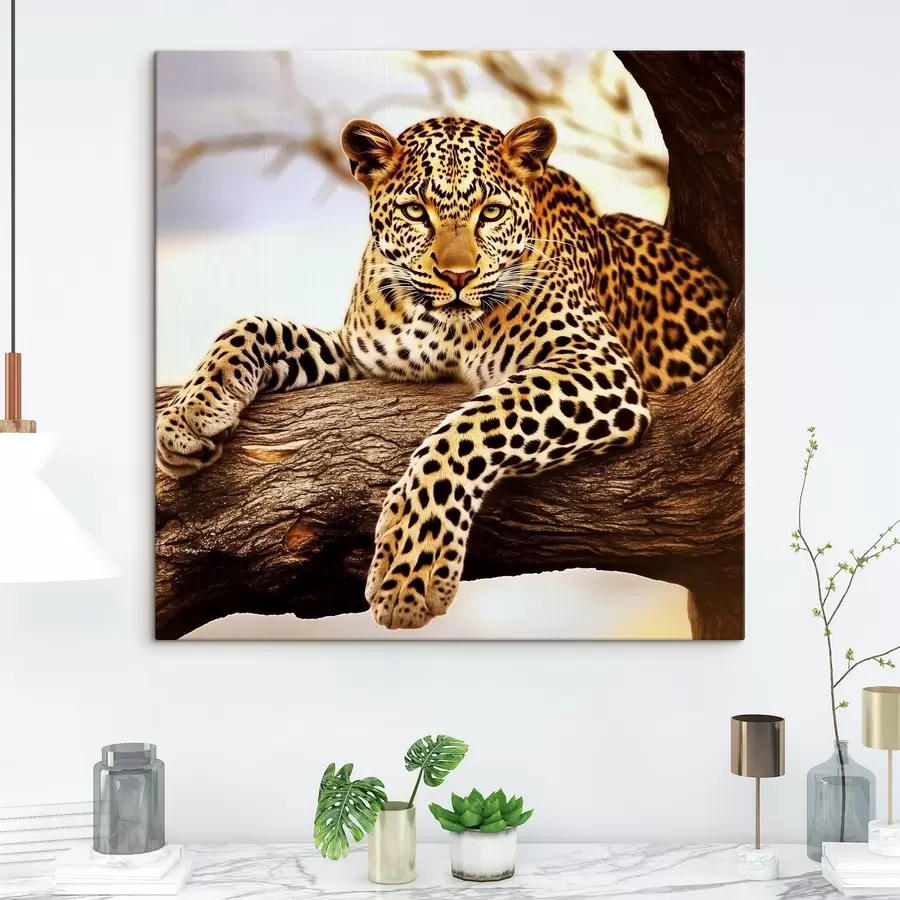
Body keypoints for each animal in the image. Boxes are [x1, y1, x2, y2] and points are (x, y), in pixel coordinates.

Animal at [156, 115, 730, 630]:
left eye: (492, 212)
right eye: (416, 211)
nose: (458, 276)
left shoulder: (595, 362)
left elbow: (472, 426)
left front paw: (411, 567)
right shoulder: (359, 358)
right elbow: (255, 325)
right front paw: (189, 417)